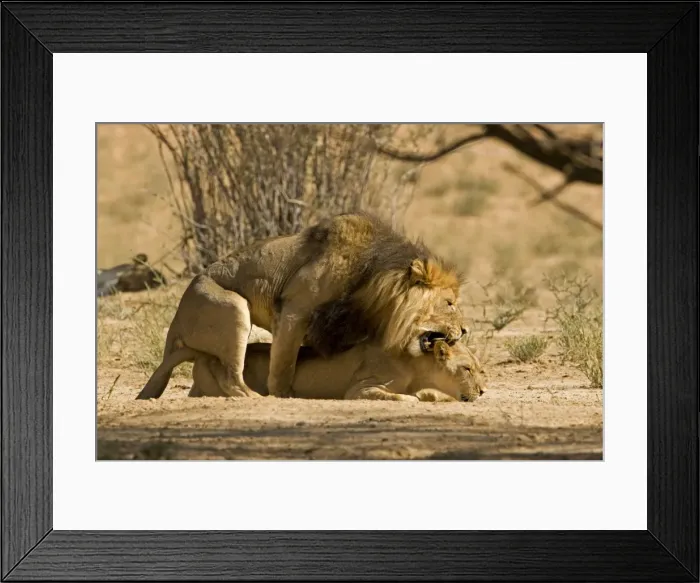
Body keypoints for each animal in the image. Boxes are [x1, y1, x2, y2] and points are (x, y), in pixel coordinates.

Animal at [136, 212, 466, 401]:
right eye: (449, 303)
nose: (465, 330)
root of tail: (178, 315)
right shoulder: (296, 309)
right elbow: (284, 363)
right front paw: (284, 394)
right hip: (232, 308)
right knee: (232, 378)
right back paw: (255, 397)